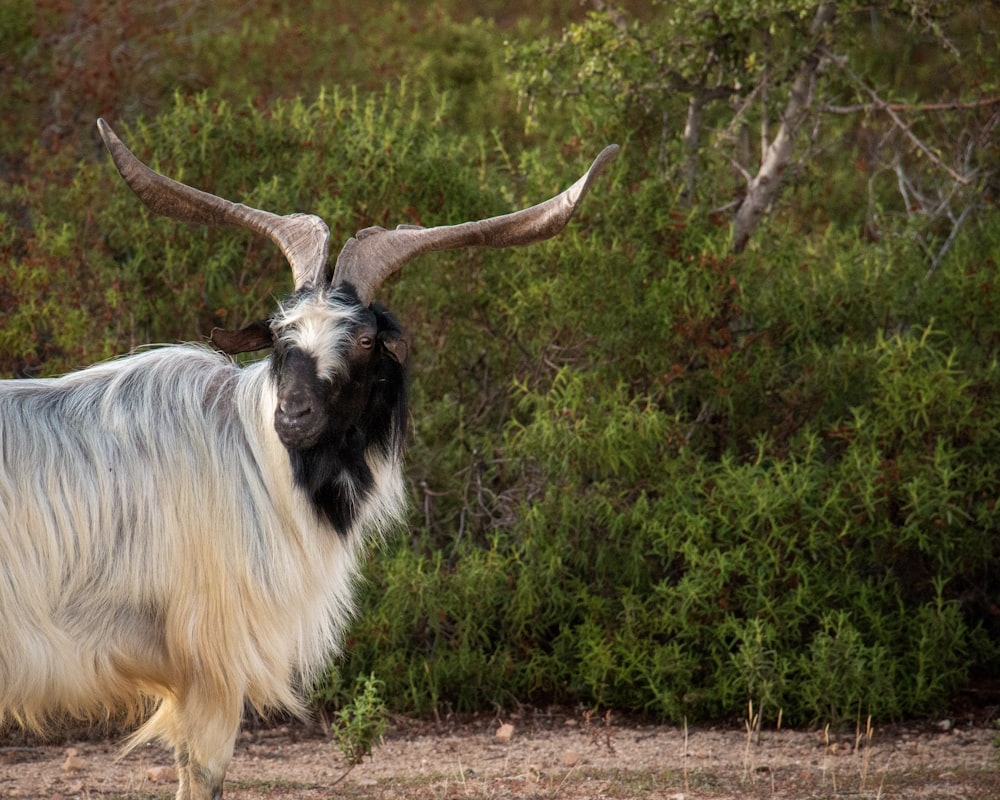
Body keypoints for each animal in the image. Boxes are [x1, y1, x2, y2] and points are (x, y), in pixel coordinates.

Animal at [0, 119, 616, 800]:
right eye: (278, 333)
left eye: (366, 338)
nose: (293, 417)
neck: (256, 460)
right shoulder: (212, 661)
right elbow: (202, 775)